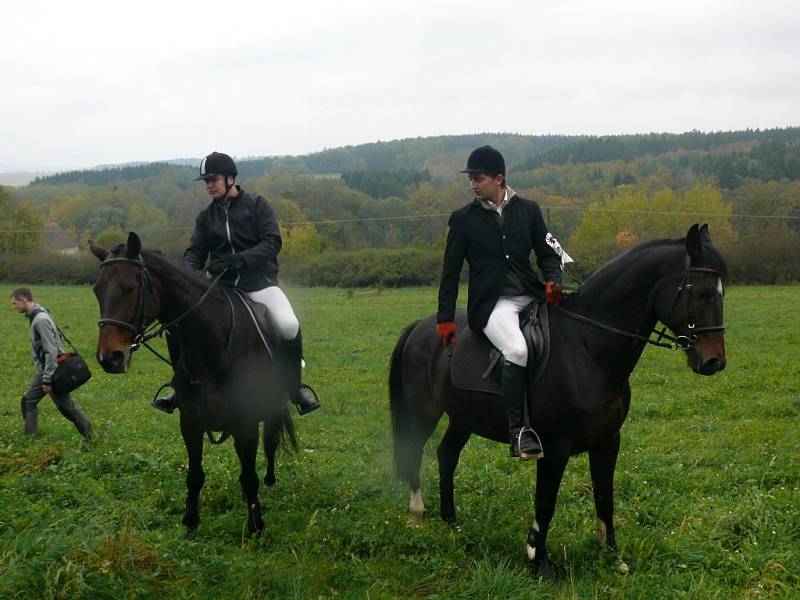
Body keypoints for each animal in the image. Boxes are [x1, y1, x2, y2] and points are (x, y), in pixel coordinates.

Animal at [90, 232, 296, 536]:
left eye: (129, 288)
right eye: (97, 290)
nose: (109, 357)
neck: (214, 344)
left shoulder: (246, 422)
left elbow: (249, 475)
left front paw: (256, 526)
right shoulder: (190, 422)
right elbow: (195, 475)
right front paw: (190, 523)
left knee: (270, 444)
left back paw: (269, 482)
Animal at [390, 223, 728, 580]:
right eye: (703, 293)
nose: (714, 362)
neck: (588, 346)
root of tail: (421, 327)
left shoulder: (608, 441)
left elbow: (605, 498)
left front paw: (612, 557)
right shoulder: (554, 448)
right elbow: (545, 502)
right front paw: (539, 561)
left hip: (463, 417)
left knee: (447, 455)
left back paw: (451, 521)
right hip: (424, 412)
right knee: (415, 451)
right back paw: (417, 515)